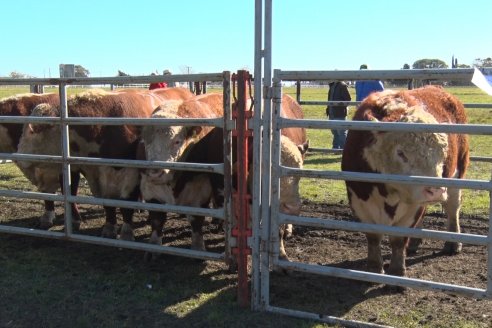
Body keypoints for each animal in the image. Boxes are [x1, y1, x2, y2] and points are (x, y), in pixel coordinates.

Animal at [15, 86, 192, 237]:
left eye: (33, 131)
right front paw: (109, 227)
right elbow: (107, 202)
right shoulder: (95, 174)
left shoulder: (131, 173)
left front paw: (126, 231)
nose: (19, 155)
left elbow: (127, 204)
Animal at [342, 84, 468, 276]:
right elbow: (373, 236)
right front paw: (374, 267)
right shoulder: (359, 199)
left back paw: (453, 243)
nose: (435, 190)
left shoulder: (413, 208)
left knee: (452, 208)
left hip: (456, 175)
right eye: (400, 153)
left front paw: (396, 271)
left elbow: (398, 240)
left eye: (443, 152)